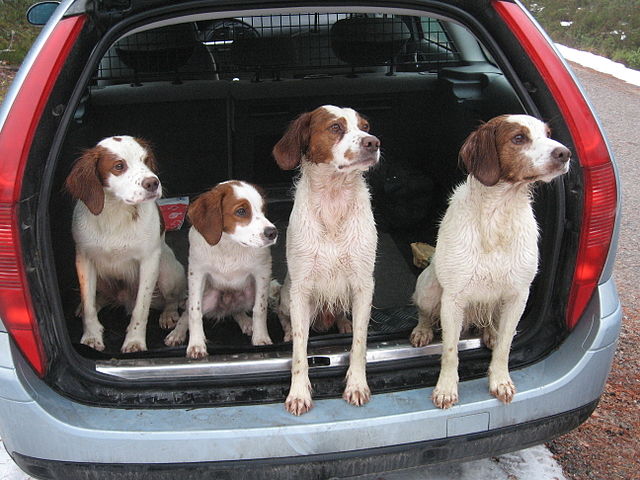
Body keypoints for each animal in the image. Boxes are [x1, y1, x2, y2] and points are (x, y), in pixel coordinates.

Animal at [67, 135, 188, 352]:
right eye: (119, 166)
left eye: (146, 160)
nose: (153, 183)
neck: (116, 212)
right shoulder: (84, 259)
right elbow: (89, 305)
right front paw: (91, 337)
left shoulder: (149, 262)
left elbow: (141, 309)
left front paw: (134, 341)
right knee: (99, 298)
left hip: (166, 270)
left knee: (171, 299)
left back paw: (168, 314)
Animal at [164, 182, 276, 358]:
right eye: (241, 211)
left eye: (263, 209)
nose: (273, 233)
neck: (228, 244)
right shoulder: (197, 273)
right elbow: (194, 311)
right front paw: (196, 344)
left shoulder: (262, 272)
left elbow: (260, 309)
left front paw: (261, 337)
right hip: (207, 296)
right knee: (186, 312)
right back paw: (177, 333)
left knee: (237, 311)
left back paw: (246, 322)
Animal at [274, 106, 380, 416]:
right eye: (335, 127)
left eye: (366, 126)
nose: (373, 142)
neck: (334, 199)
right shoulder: (300, 289)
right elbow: (300, 348)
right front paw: (298, 393)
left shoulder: (363, 285)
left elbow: (359, 342)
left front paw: (356, 384)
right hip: (286, 295)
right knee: (284, 317)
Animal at [412, 113, 572, 408]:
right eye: (518, 138)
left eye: (547, 133)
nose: (564, 153)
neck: (499, 213)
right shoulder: (453, 298)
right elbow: (450, 351)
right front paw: (446, 389)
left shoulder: (518, 295)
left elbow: (505, 346)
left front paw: (500, 381)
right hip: (429, 288)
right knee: (425, 313)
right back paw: (422, 330)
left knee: (492, 325)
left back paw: (490, 333)